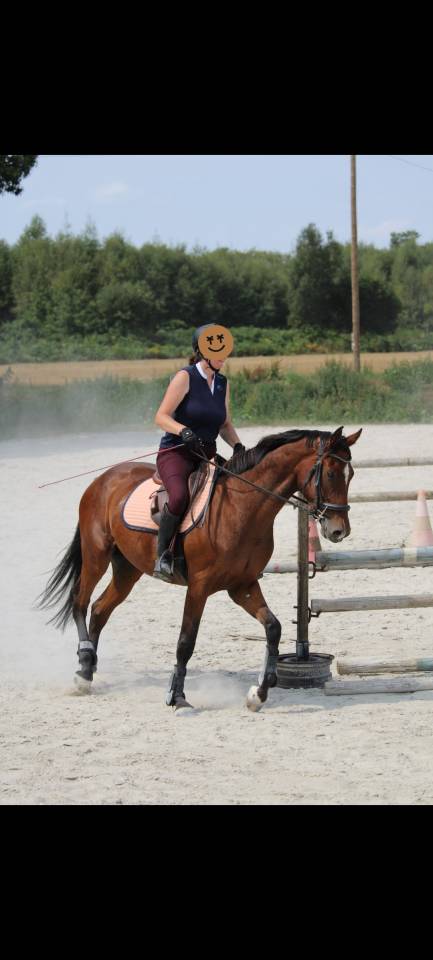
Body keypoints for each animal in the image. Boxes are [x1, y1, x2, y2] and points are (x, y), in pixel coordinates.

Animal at [38, 425, 362, 711]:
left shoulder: (242, 585)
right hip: (97, 555)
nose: (339, 531)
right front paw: (176, 696)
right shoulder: (199, 586)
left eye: (351, 475)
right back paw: (83, 668)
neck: (242, 507)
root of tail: (103, 479)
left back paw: (87, 670)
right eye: (330, 473)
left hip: (127, 569)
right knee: (80, 603)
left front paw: (258, 693)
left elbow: (273, 628)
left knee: (100, 609)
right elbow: (186, 641)